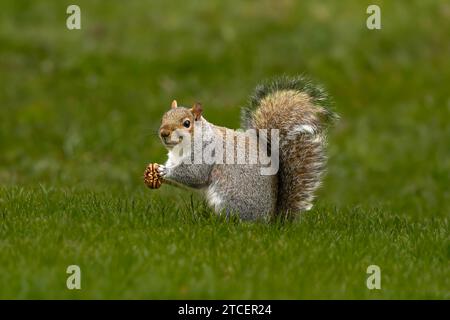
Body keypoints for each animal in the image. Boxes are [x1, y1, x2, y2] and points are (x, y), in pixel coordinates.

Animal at [148, 75, 338, 220]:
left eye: (187, 123)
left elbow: (194, 175)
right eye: (163, 117)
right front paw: (155, 172)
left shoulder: (206, 154)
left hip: (229, 200)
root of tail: (270, 220)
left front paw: (164, 171)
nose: (164, 133)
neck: (180, 148)